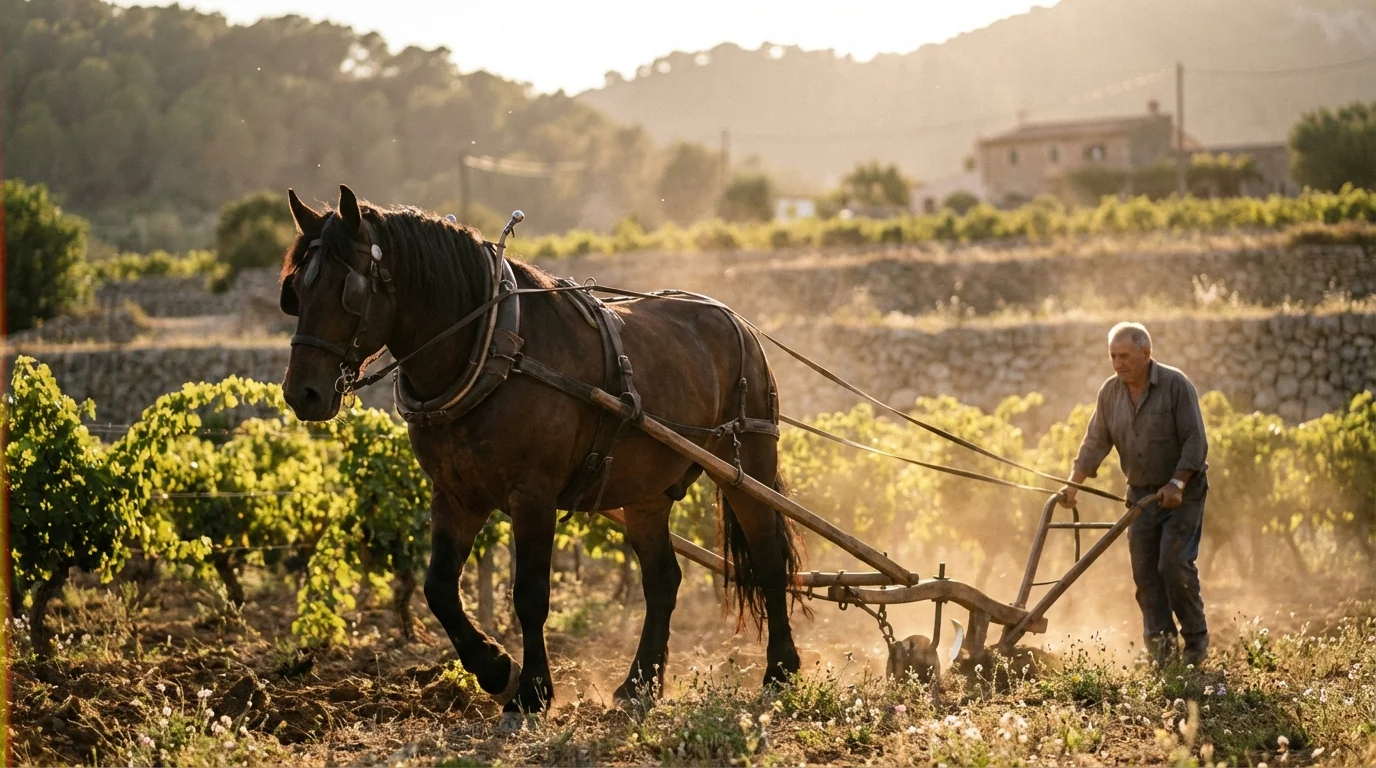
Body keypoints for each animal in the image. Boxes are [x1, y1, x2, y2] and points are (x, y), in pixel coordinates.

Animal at [277, 185, 805, 726]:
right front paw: (495, 669)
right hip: (646, 490)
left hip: (748, 464)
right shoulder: (456, 494)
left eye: (348, 289)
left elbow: (530, 595)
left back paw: (779, 670)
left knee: (768, 561)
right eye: (295, 290)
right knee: (663, 579)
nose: (303, 394)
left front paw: (530, 691)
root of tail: (737, 322)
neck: (491, 347)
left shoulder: (533, 495)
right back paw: (639, 683)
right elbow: (439, 588)